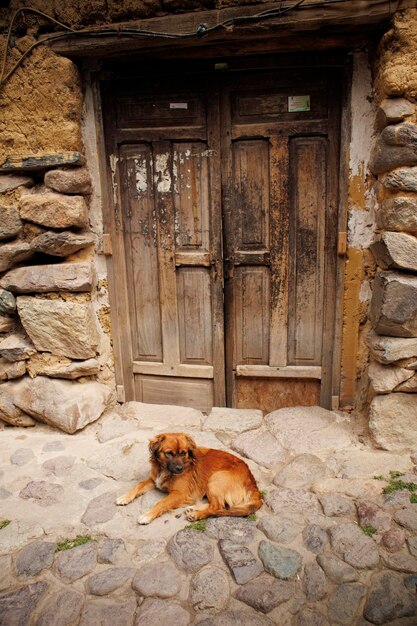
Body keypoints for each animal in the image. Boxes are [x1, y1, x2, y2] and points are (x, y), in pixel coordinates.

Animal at [115, 428, 262, 520]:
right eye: (169, 453)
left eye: (183, 453)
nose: (180, 468)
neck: (165, 470)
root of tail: (253, 484)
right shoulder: (153, 480)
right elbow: (138, 485)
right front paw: (125, 497)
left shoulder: (179, 494)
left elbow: (161, 503)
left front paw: (147, 516)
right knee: (222, 506)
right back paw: (194, 508)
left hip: (216, 479)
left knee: (217, 507)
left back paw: (197, 514)